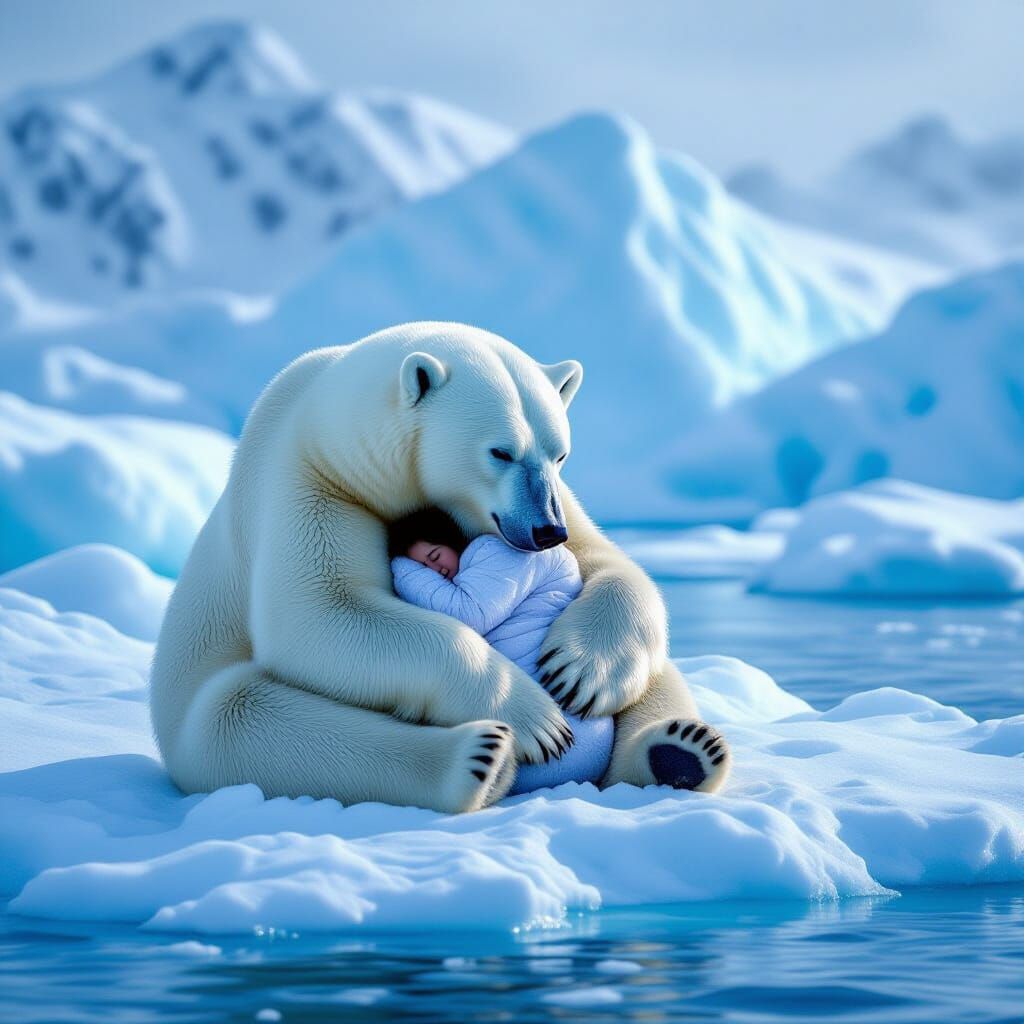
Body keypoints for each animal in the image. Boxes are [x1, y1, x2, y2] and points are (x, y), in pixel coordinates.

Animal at [150, 322, 730, 813]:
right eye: (500, 451)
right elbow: (319, 611)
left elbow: (604, 561)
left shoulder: (557, 501)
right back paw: (478, 758)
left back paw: (681, 750)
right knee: (248, 720)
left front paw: (579, 671)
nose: (546, 531)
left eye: (560, 453)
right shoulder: (310, 476)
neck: (323, 415)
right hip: (198, 712)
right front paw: (536, 718)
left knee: (660, 673)